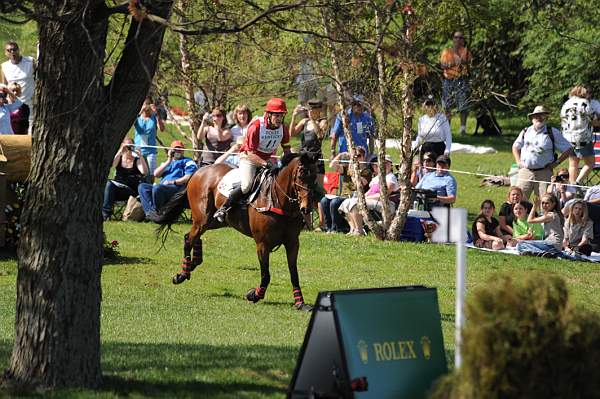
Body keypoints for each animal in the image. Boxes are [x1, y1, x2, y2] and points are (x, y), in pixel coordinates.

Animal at [154, 152, 318, 310]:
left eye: (315, 177)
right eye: (301, 175)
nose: (306, 208)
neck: (278, 201)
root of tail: (199, 170)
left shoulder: (292, 243)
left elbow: (294, 274)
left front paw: (300, 303)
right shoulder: (262, 244)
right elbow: (266, 275)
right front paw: (254, 295)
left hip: (214, 221)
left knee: (192, 236)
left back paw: (193, 262)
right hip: (203, 219)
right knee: (190, 238)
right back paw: (183, 274)